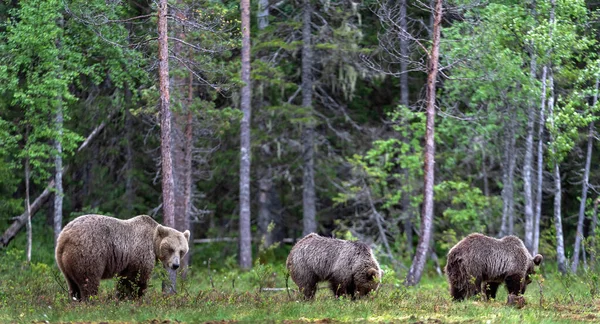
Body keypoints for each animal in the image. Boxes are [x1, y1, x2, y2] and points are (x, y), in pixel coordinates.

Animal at [55, 214, 190, 300]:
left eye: (182, 251)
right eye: (171, 249)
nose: (175, 265)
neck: (153, 242)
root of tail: (65, 236)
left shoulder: (127, 262)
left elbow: (124, 280)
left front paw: (121, 297)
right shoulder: (140, 251)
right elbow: (138, 278)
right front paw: (136, 297)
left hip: (64, 261)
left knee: (72, 284)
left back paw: (75, 300)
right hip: (88, 252)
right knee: (89, 280)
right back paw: (90, 300)